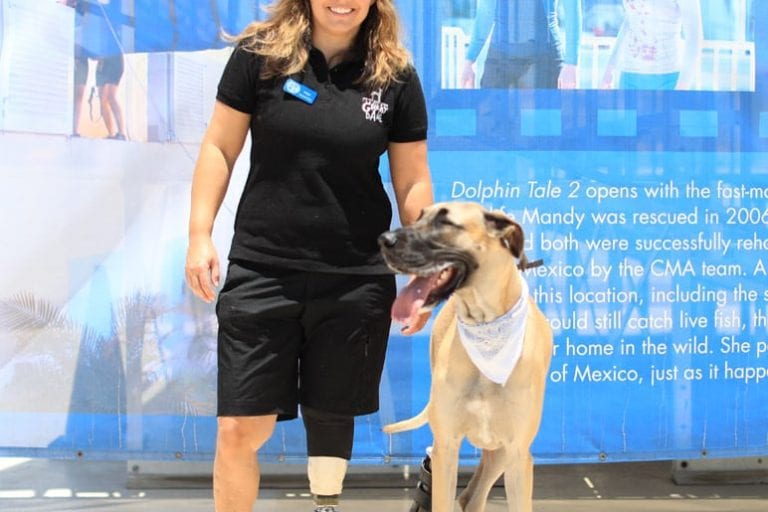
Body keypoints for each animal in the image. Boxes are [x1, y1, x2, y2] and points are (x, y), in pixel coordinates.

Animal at [378, 202, 552, 512]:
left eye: (445, 222)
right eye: (418, 217)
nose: (384, 240)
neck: (487, 331)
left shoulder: (518, 454)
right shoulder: (446, 446)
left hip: (502, 453)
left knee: (473, 495)